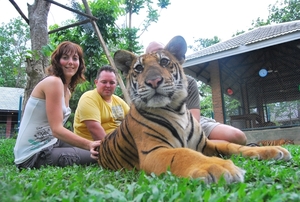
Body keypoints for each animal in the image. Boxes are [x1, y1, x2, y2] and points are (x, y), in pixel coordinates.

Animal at [97, 35, 292, 184]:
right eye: (138, 68)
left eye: (164, 61)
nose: (153, 81)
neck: (176, 109)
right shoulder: (153, 151)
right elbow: (183, 154)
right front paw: (218, 166)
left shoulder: (206, 143)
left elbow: (232, 145)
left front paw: (271, 151)